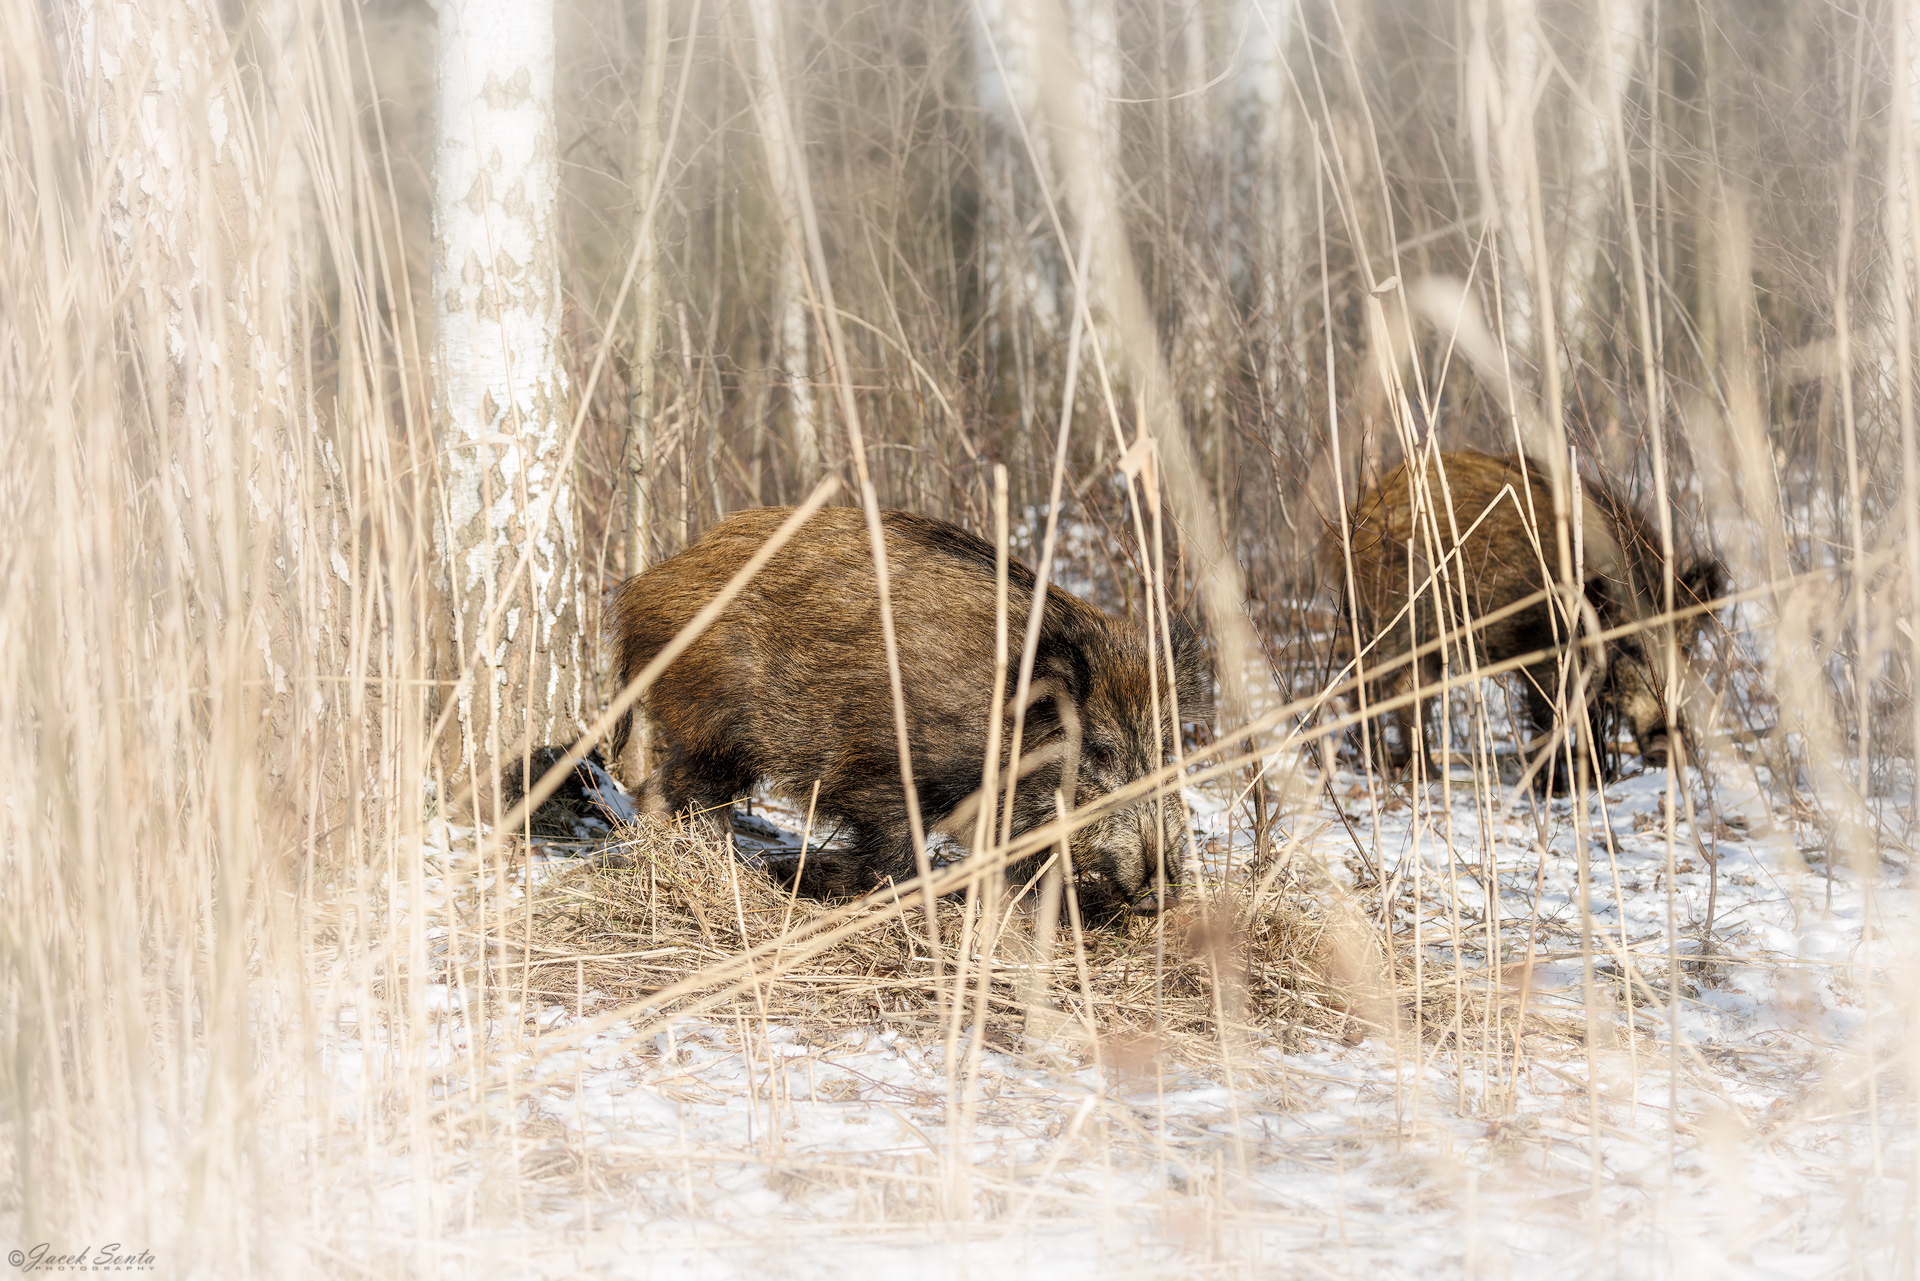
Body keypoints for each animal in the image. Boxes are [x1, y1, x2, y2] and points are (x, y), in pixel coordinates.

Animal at [605, 506, 1211, 913]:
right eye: (1099, 754)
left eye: (1167, 751)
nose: (1162, 891)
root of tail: (644, 587)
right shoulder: (883, 775)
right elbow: (894, 855)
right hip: (720, 728)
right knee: (683, 791)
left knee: (669, 788)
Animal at [1321, 450, 1724, 789]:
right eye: (1630, 647)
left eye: (1686, 648)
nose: (1665, 747)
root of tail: (1353, 525)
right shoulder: (1542, 656)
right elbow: (1548, 720)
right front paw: (1557, 788)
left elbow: (1591, 723)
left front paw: (1598, 781)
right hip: (1388, 627)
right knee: (1367, 692)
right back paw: (1383, 770)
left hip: (1428, 649)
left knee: (1411, 698)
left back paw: (1430, 775)